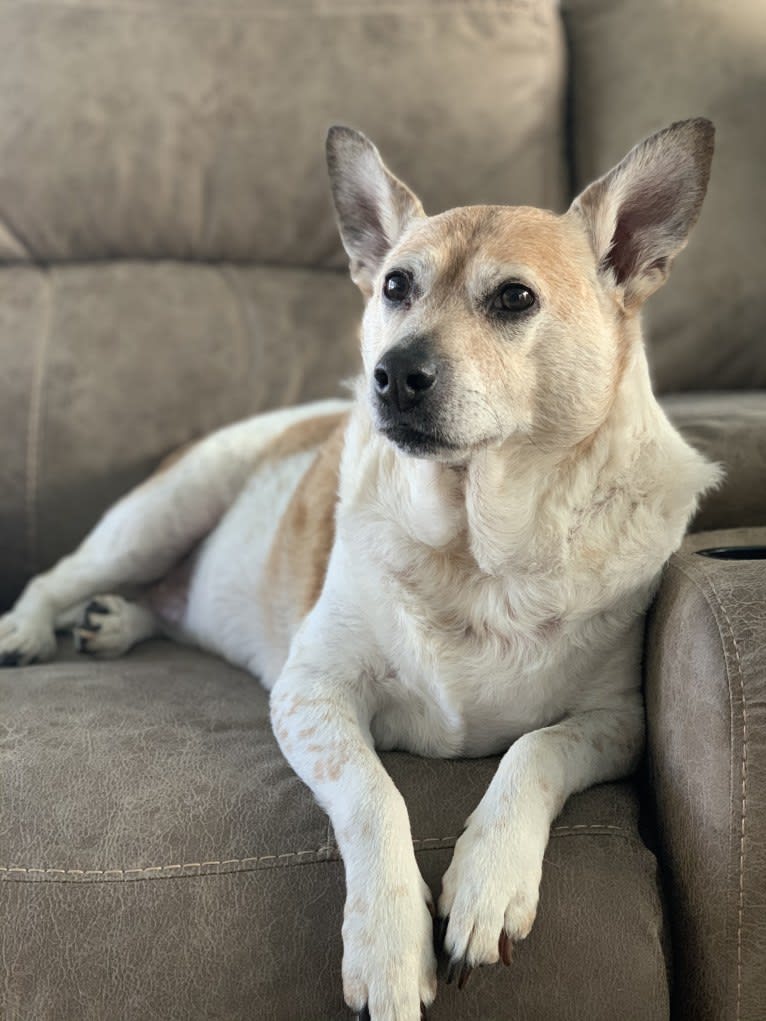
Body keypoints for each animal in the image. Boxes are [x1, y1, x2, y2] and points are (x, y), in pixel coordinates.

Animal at [0, 121, 719, 1021]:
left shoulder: (618, 721)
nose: (393, 374)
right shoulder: (312, 694)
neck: (478, 548)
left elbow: (535, 751)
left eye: (514, 299)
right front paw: (388, 946)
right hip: (161, 512)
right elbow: (376, 796)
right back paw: (29, 630)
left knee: (155, 602)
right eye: (394, 286)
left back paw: (116, 621)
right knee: (60, 576)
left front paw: (488, 883)